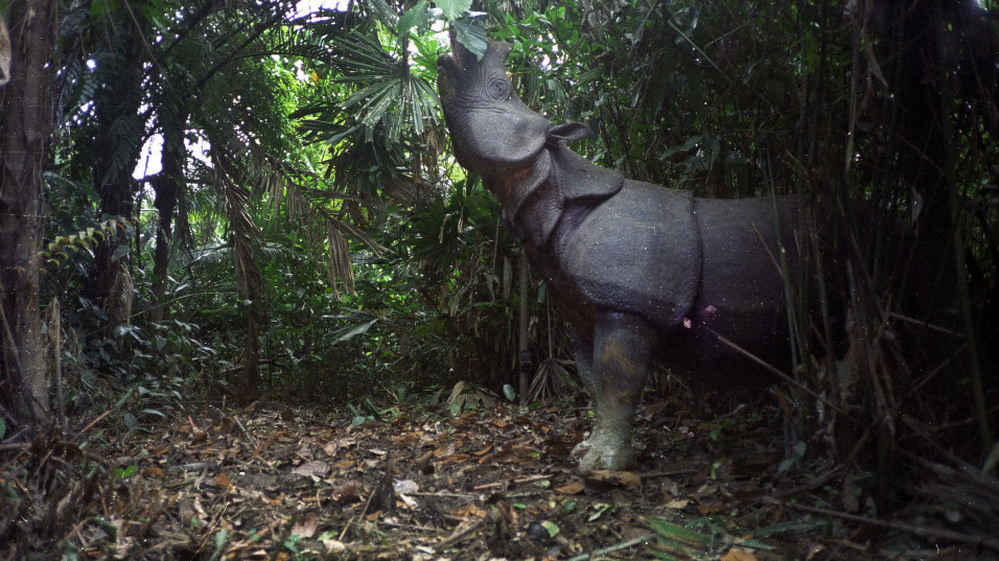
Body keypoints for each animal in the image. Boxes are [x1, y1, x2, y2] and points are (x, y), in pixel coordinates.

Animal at [437, 39, 861, 473]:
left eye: (499, 89)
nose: (448, 53)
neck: (550, 185)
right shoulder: (583, 309)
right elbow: (593, 382)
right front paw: (587, 451)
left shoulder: (627, 300)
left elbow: (616, 382)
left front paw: (605, 466)